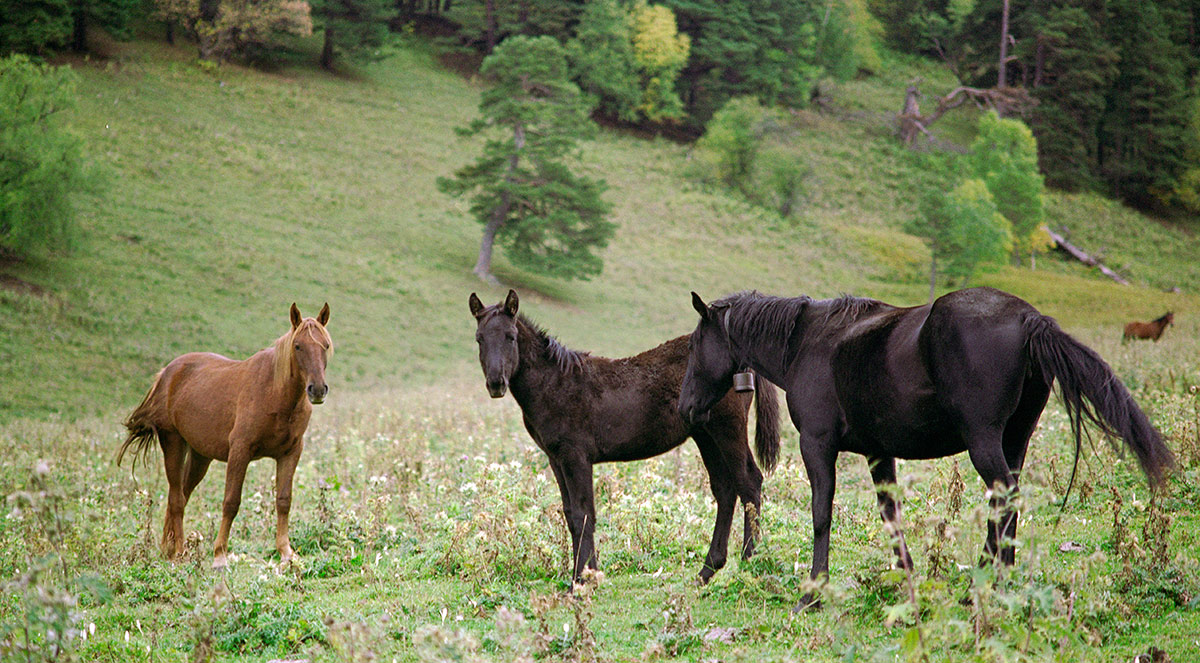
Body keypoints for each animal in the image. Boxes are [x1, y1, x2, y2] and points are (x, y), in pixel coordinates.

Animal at [119, 302, 333, 566]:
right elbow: (231, 502)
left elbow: (284, 501)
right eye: (298, 346)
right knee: (177, 499)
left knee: (180, 495)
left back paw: (168, 549)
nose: (317, 390)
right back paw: (179, 551)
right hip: (173, 442)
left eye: (325, 345)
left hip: (200, 456)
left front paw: (286, 552)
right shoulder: (240, 451)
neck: (275, 393)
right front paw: (220, 555)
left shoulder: (290, 452)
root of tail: (166, 374)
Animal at [468, 290, 777, 586]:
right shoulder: (556, 459)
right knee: (725, 489)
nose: (496, 384)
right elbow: (570, 514)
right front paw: (585, 575)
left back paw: (749, 562)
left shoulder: (576, 456)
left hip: (727, 429)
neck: (555, 383)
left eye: (510, 336)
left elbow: (583, 514)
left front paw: (583, 581)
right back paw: (707, 571)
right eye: (479, 339)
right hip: (705, 435)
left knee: (749, 482)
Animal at [681, 287, 1176, 607]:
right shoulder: (878, 453)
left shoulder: (817, 445)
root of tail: (1027, 320)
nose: (685, 407)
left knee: (1002, 497)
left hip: (983, 441)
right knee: (1007, 500)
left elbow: (821, 514)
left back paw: (986, 583)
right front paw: (907, 579)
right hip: (1015, 439)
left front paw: (813, 593)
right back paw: (997, 579)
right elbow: (891, 515)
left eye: (696, 344)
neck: (807, 342)